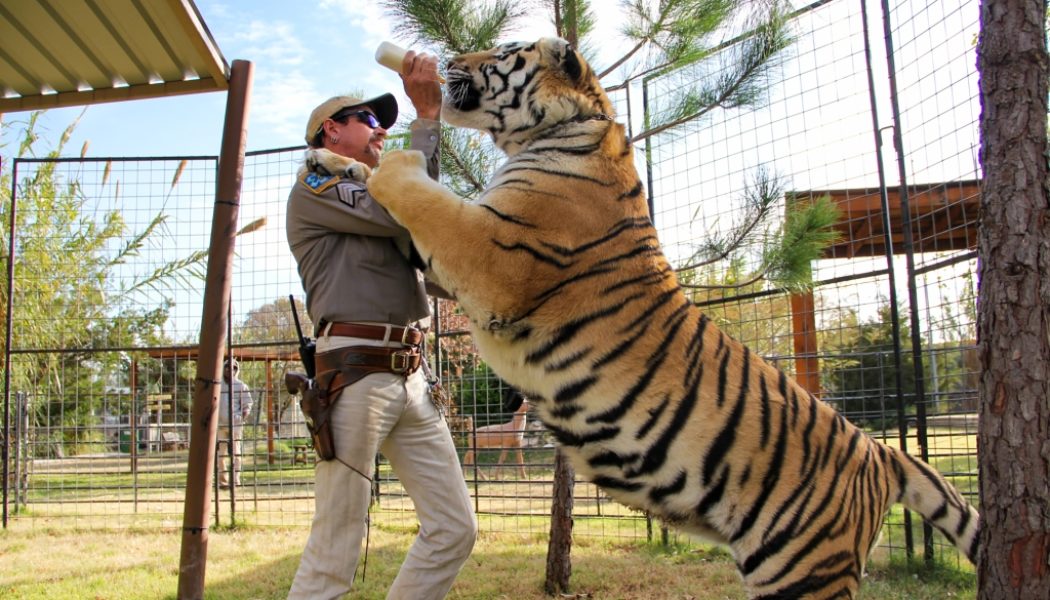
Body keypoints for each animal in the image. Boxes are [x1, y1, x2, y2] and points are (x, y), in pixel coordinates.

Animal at [346, 37, 980, 599]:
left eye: (501, 52)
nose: (448, 60)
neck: (563, 128)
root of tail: (881, 452)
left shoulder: (491, 253)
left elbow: (420, 194)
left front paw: (389, 159)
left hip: (803, 569)